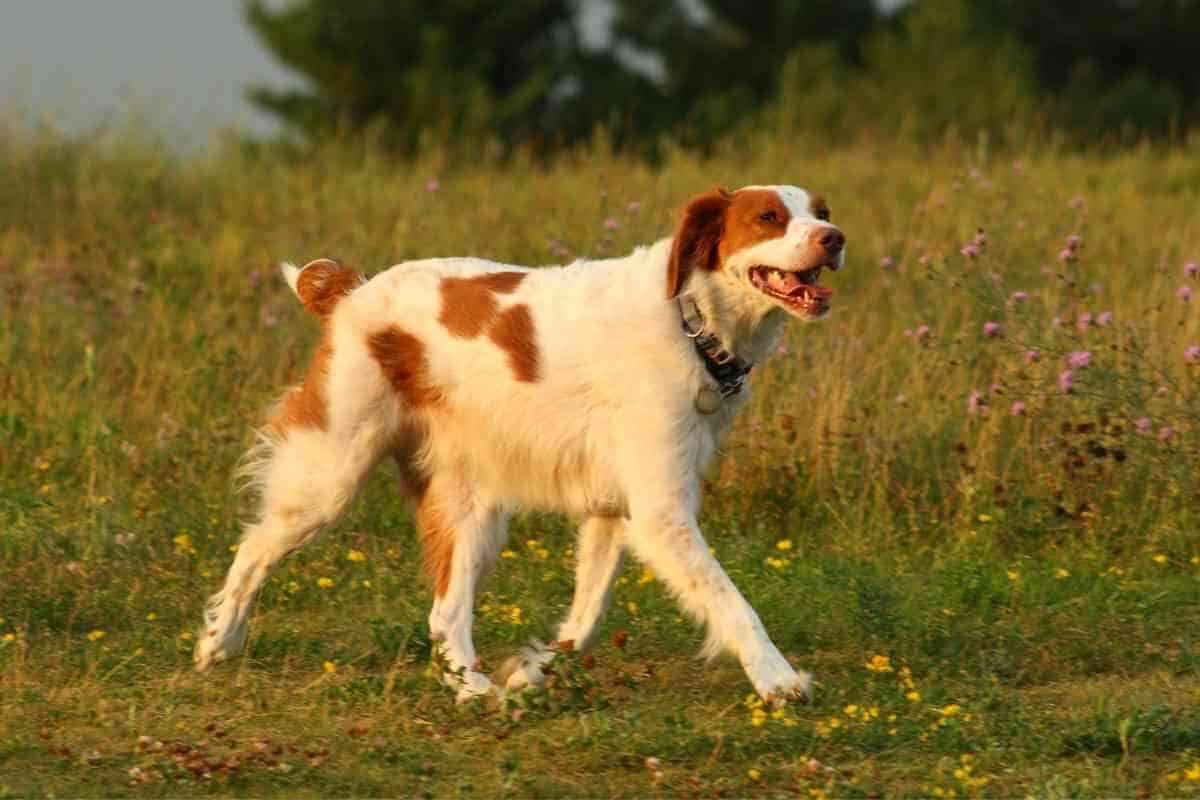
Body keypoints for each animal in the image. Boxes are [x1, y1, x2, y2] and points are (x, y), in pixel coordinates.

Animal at [194, 184, 844, 705]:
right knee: (256, 546)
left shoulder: (615, 509)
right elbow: (733, 602)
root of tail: (353, 291)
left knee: (445, 614)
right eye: (768, 217)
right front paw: (779, 680)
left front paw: (531, 672)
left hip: (470, 507)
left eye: (821, 212)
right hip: (333, 471)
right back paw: (218, 640)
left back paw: (475, 690)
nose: (835, 239)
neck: (689, 318)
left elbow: (584, 618)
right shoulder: (661, 512)